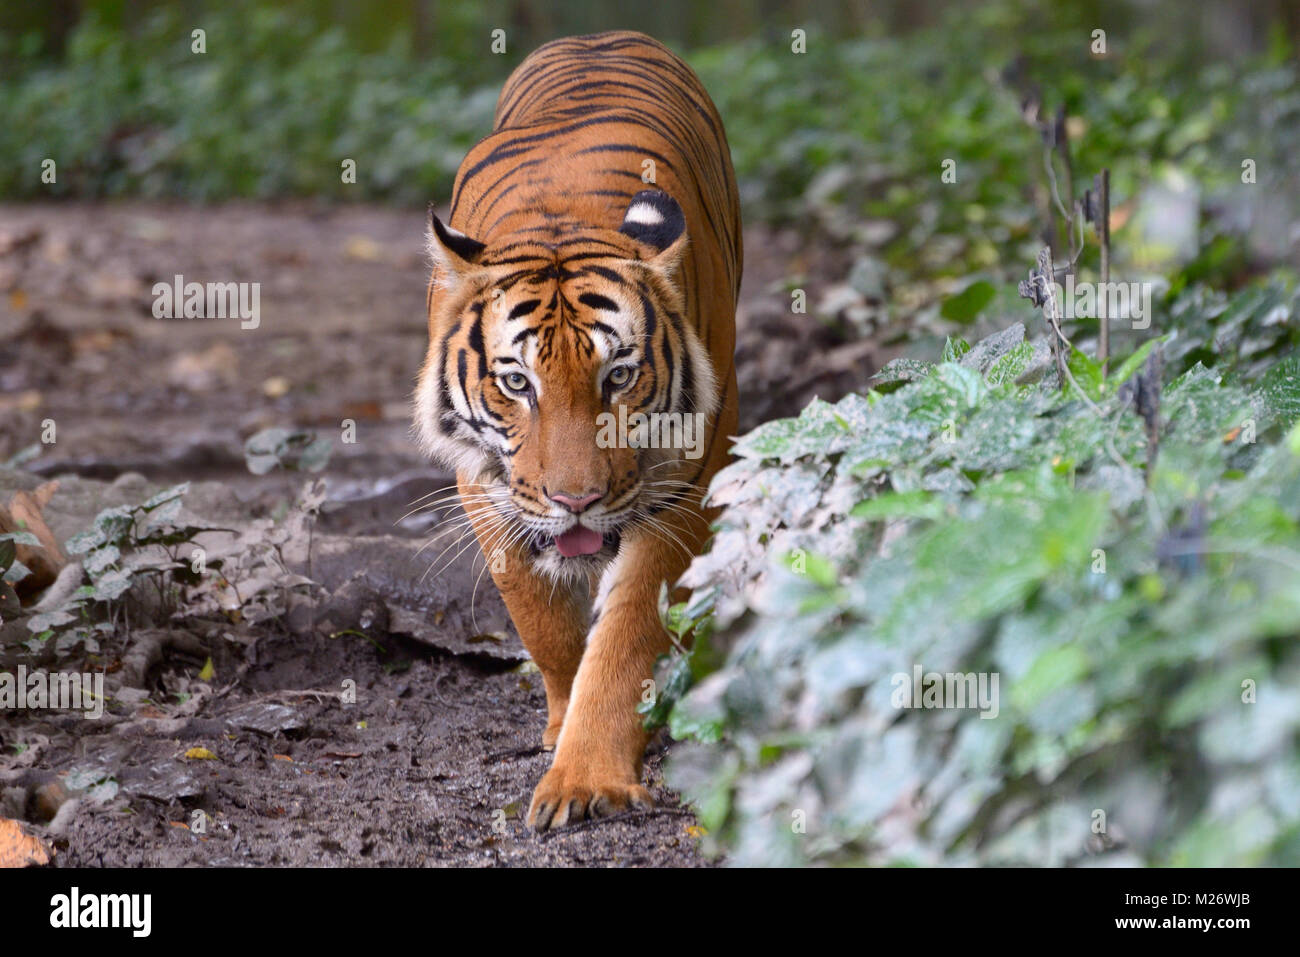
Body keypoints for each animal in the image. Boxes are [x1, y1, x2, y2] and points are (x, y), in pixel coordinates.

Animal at [416, 29, 743, 832]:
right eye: (516, 384)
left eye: (617, 378)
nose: (577, 503)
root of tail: (599, 34)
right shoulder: (486, 482)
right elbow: (543, 619)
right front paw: (561, 723)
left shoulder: (683, 483)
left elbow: (625, 635)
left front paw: (587, 777)